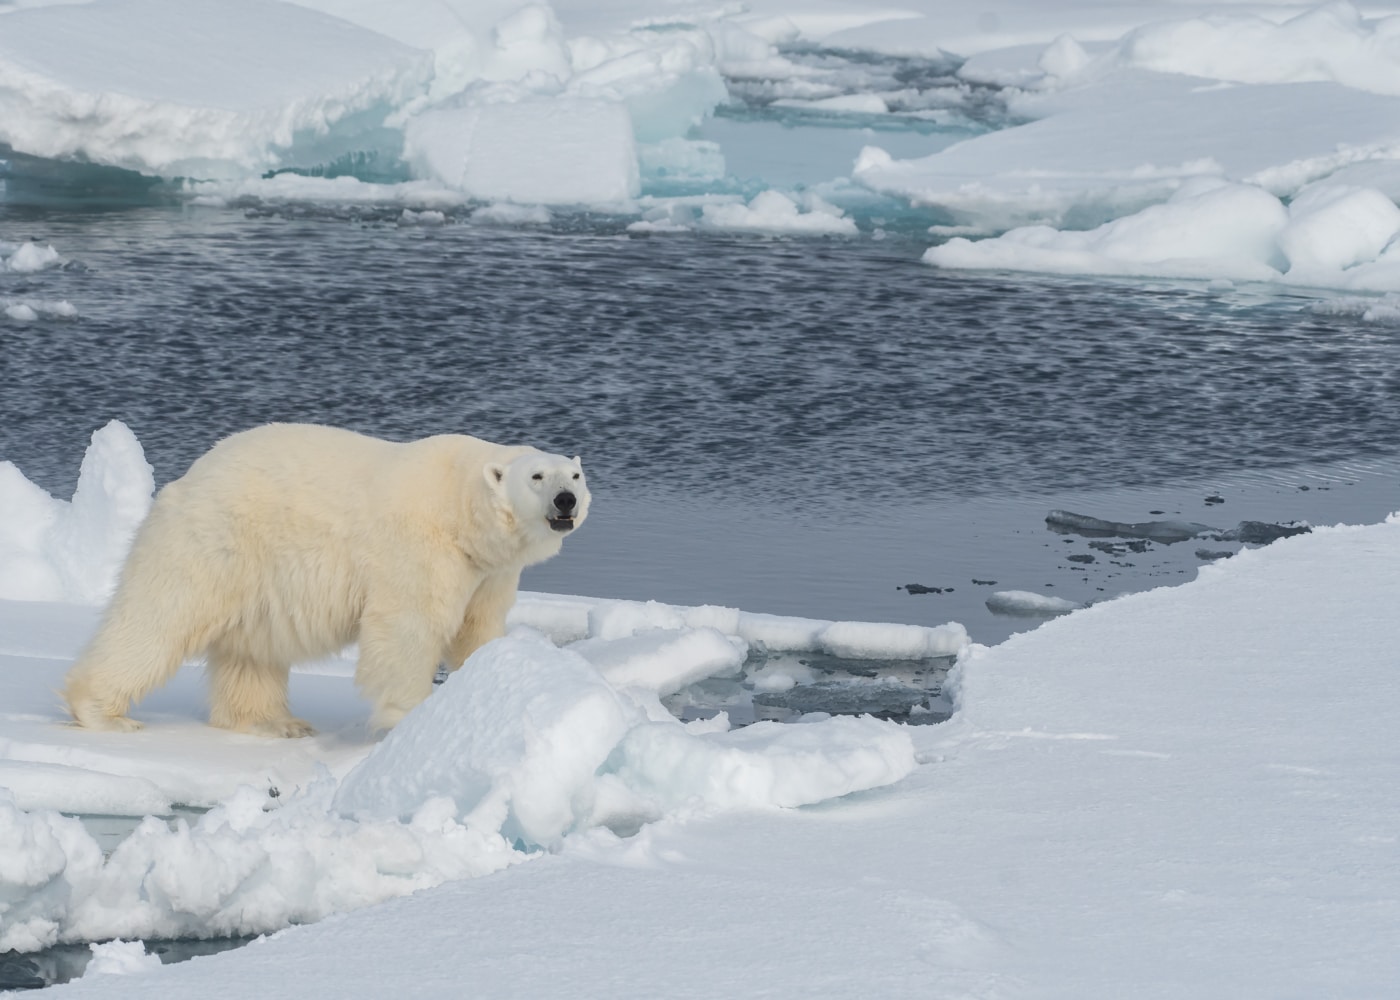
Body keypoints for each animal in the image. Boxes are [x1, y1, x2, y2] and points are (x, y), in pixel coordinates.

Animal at [63, 420, 588, 733]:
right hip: (213, 544)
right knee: (156, 621)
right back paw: (104, 713)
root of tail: (185, 480)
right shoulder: (419, 547)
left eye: (575, 476)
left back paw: (275, 723)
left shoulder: (489, 572)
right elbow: (408, 628)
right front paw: (408, 716)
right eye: (537, 477)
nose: (566, 501)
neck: (459, 508)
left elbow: (477, 630)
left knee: (252, 653)